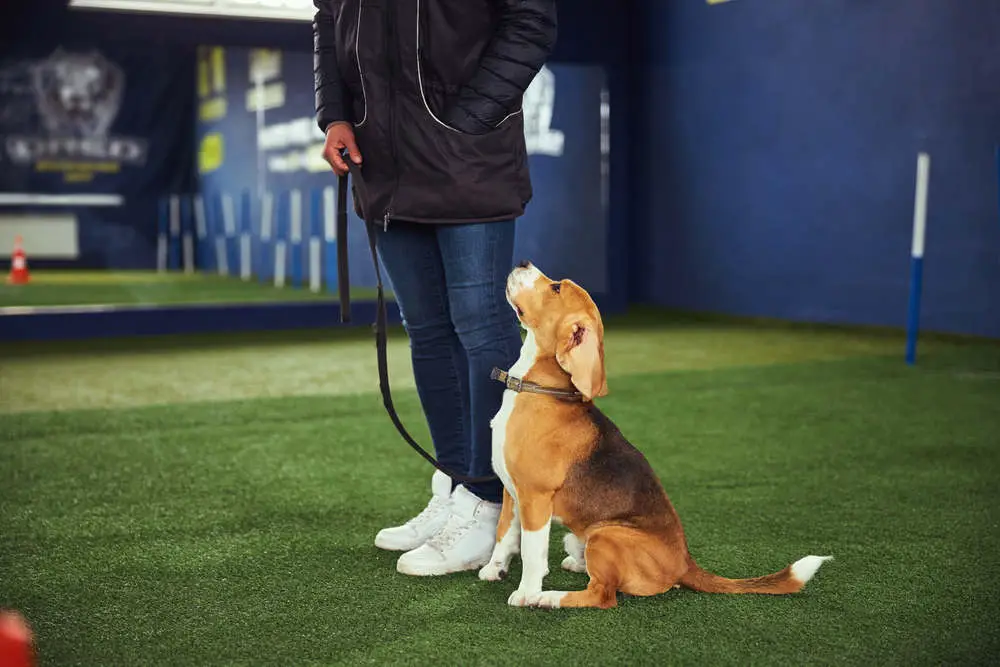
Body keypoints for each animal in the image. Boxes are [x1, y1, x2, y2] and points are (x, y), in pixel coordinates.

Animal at [480, 264, 832, 608]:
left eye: (555, 288)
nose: (523, 263)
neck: (536, 387)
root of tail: (685, 562)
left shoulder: (535, 498)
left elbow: (532, 553)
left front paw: (527, 593)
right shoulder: (512, 493)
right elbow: (503, 535)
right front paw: (494, 569)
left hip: (605, 536)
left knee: (603, 596)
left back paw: (549, 598)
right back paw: (574, 565)